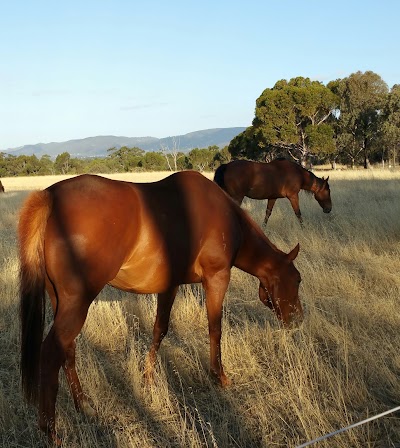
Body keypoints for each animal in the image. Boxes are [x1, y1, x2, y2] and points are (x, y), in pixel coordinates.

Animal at [17, 172, 302, 444]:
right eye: (298, 280)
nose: (297, 320)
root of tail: (50, 196)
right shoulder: (217, 278)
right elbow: (215, 329)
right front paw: (219, 376)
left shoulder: (170, 286)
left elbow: (160, 330)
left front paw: (148, 378)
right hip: (77, 304)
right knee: (50, 354)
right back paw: (52, 432)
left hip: (62, 302)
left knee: (68, 349)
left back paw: (84, 405)